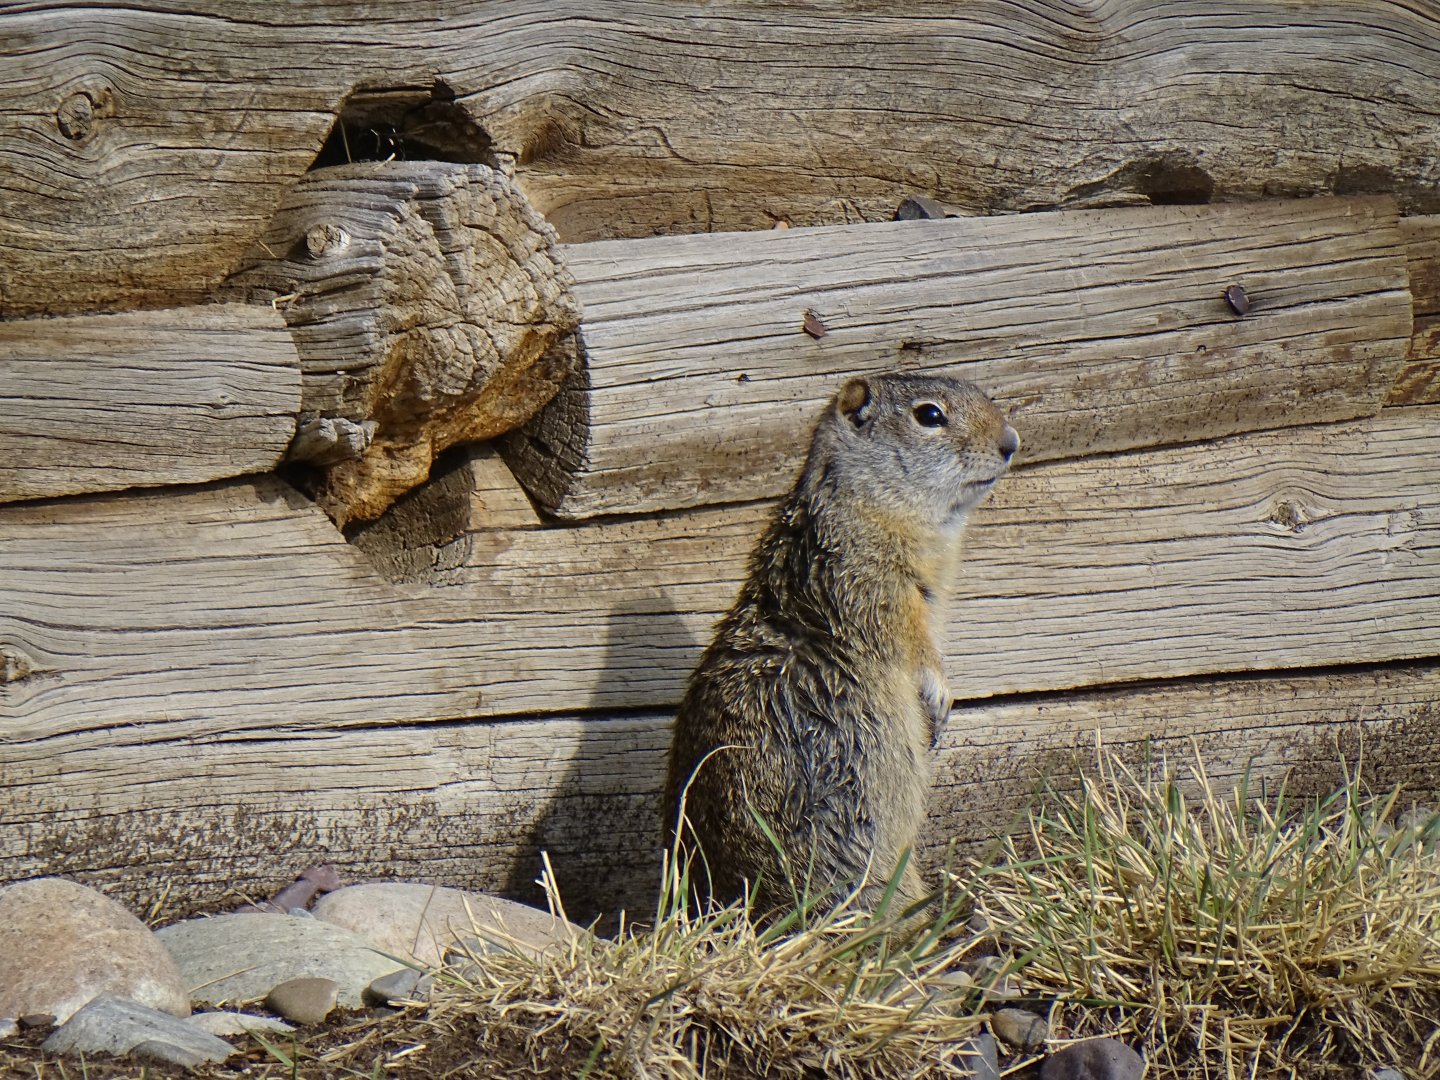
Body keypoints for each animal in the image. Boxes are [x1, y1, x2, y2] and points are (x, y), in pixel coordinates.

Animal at [663, 371, 1019, 916]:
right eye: (929, 415)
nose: (1011, 442)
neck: (868, 504)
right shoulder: (881, 588)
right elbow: (915, 648)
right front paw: (939, 701)